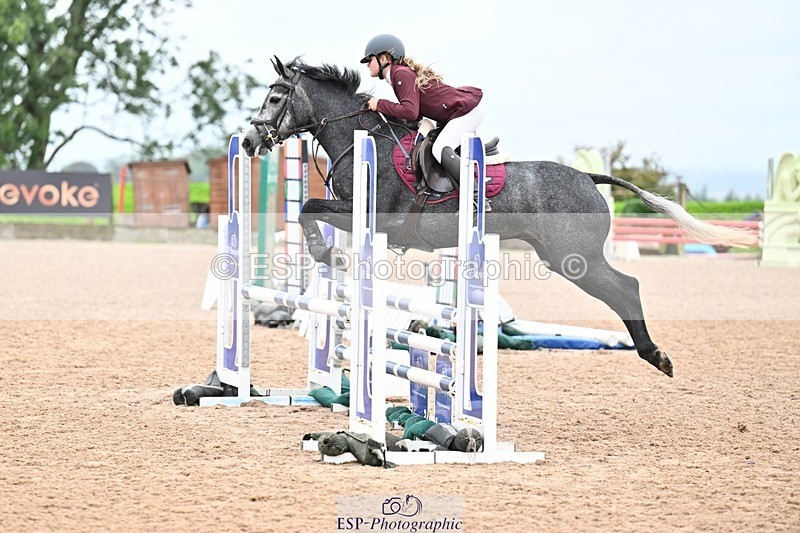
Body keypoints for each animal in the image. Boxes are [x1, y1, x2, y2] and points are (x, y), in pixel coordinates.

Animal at [241, 56, 757, 378]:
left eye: (275, 99)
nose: (247, 142)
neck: (363, 138)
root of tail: (588, 177)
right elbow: (311, 211)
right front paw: (330, 257)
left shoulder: (373, 215)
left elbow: (309, 210)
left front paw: (327, 254)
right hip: (562, 256)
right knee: (621, 289)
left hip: (574, 257)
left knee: (626, 288)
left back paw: (656, 356)